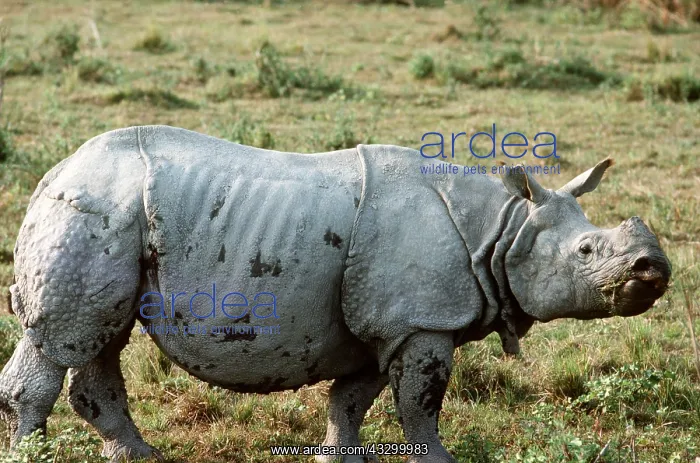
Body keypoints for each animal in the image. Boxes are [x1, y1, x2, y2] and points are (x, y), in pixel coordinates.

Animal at [0, 126, 671, 462]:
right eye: (586, 252)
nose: (655, 268)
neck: (504, 229)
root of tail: (55, 169)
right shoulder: (421, 320)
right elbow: (420, 404)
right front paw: (438, 462)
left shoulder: (382, 324)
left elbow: (351, 401)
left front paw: (338, 460)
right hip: (91, 210)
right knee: (62, 339)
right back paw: (35, 455)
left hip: (112, 216)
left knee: (98, 339)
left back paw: (140, 457)